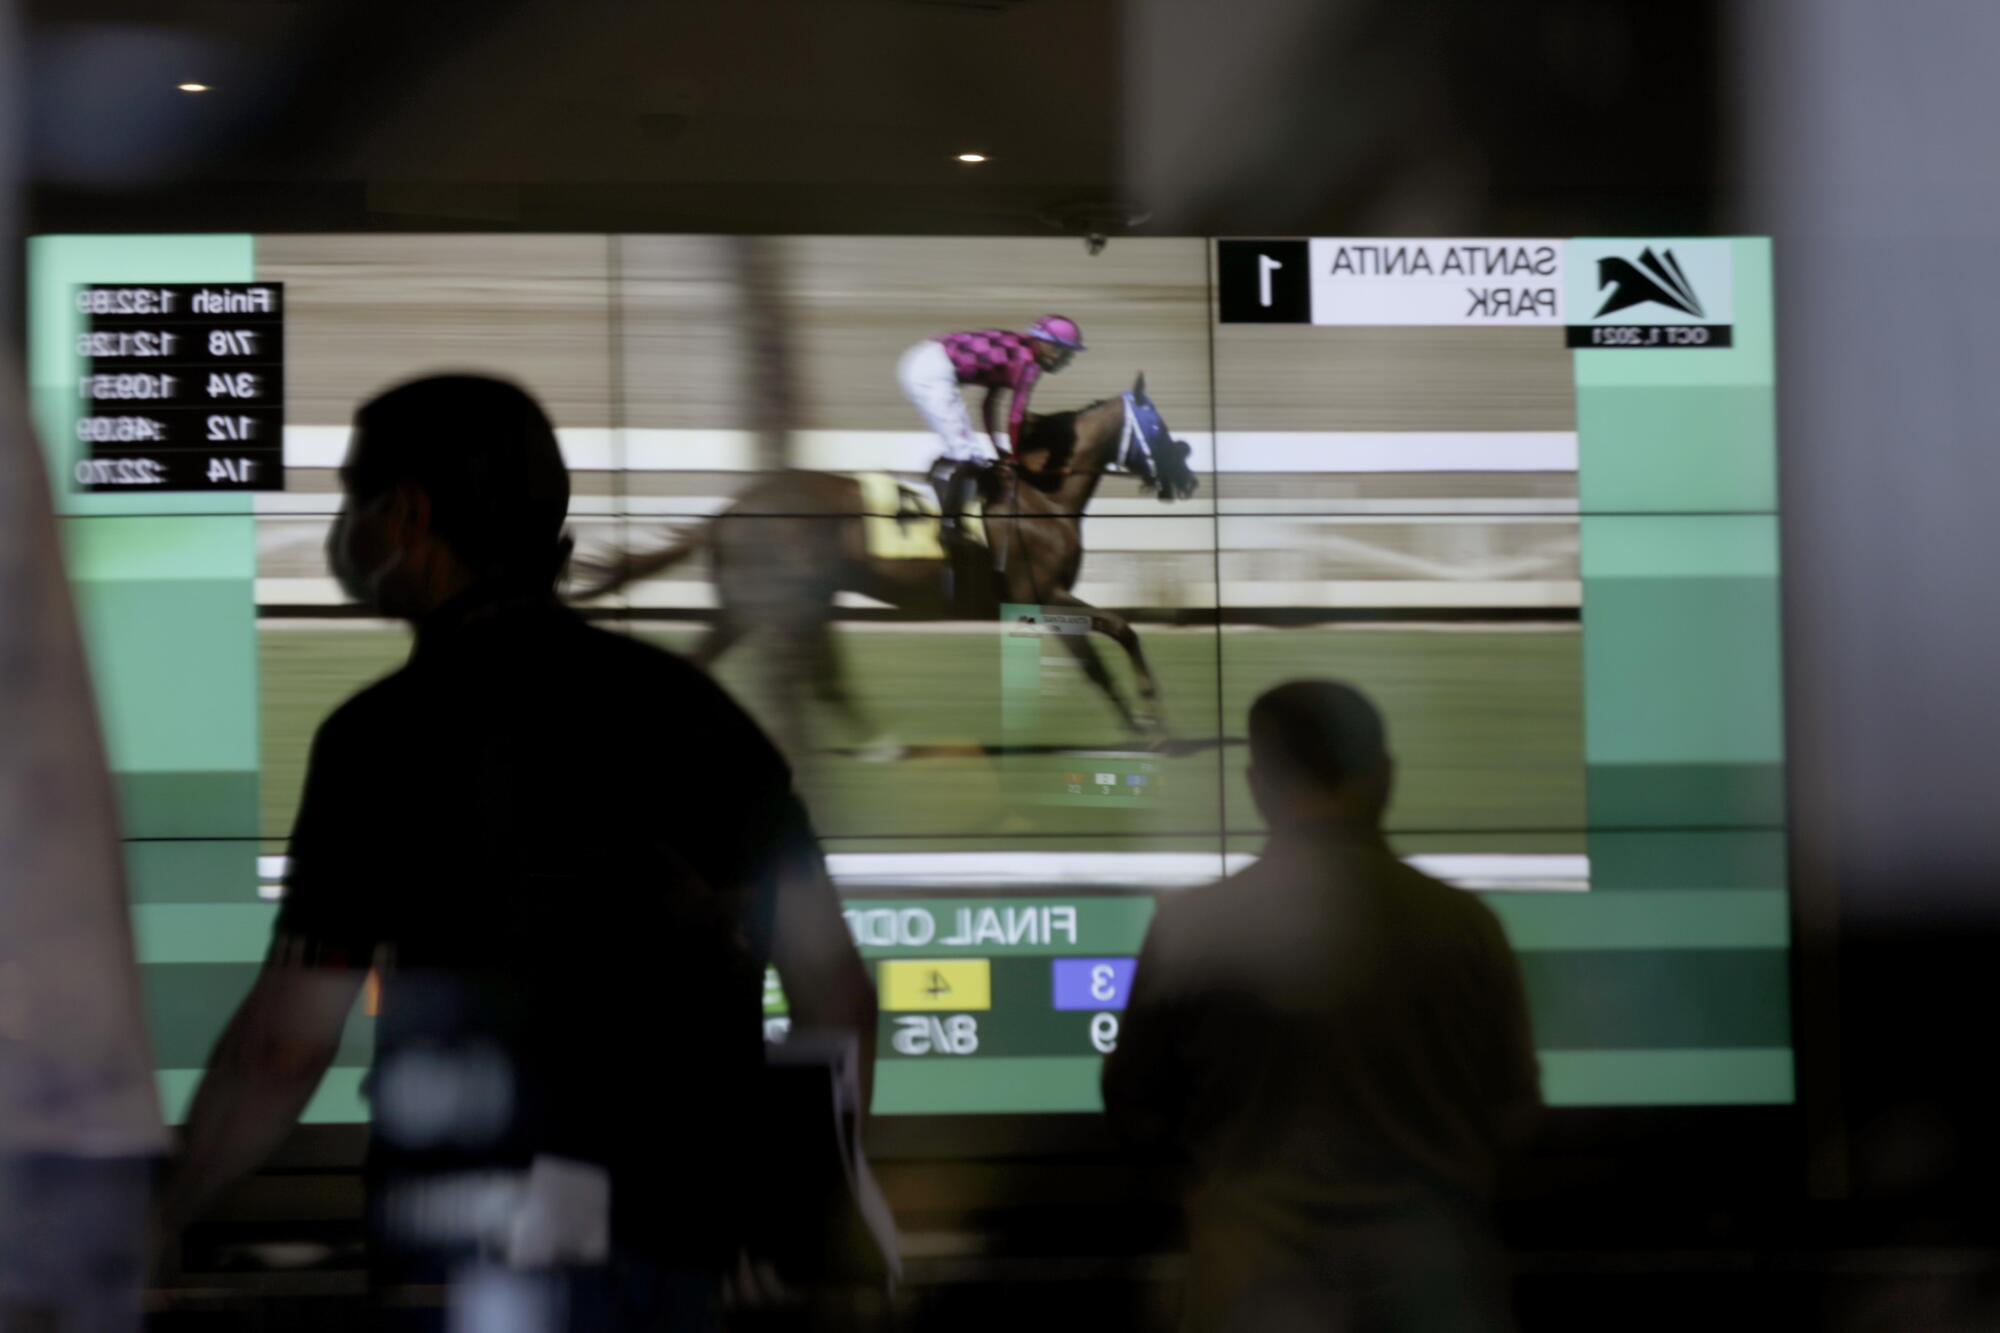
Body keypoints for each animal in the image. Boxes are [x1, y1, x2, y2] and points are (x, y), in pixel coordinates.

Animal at [572, 374, 1192, 748]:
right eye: (1160, 429)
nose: (1188, 477)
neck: (1041, 496)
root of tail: (730, 511)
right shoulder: (1043, 596)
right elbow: (1112, 643)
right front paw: (1149, 727)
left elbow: (1113, 642)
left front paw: (1147, 723)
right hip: (780, 602)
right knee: (803, 673)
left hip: (767, 603)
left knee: (781, 670)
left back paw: (875, 742)